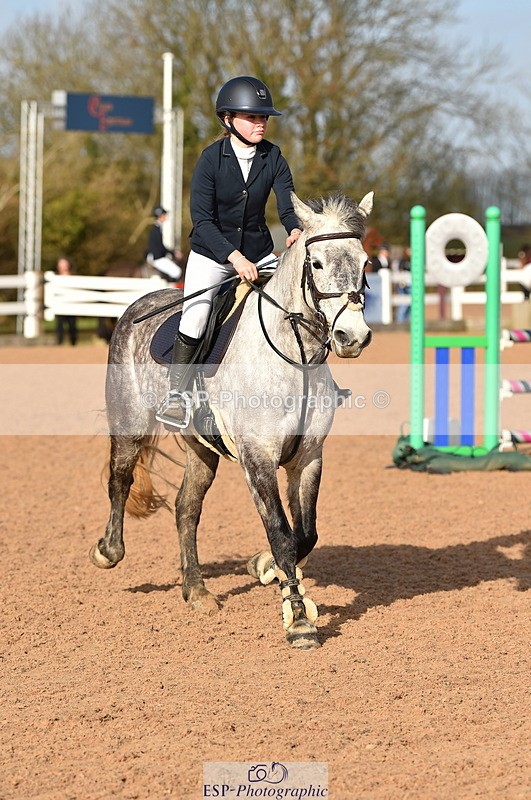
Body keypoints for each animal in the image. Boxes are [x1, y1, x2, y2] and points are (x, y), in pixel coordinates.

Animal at [90, 191, 374, 650]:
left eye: (365, 263)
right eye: (316, 264)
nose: (353, 336)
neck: (294, 357)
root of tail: (137, 302)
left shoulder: (308, 458)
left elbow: (304, 534)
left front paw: (263, 567)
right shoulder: (257, 457)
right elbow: (281, 533)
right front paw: (298, 620)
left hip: (201, 449)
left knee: (186, 509)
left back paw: (196, 591)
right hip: (129, 423)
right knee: (121, 479)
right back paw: (107, 551)